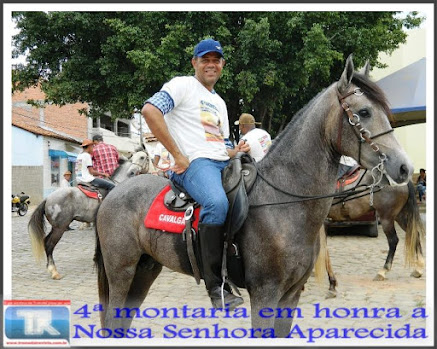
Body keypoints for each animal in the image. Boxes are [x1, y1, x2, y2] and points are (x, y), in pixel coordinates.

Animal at [28, 148, 150, 278]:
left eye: (142, 157)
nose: (132, 172)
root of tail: (48, 199)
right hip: (59, 228)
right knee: (49, 244)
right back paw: (54, 271)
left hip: (56, 227)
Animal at [94, 55, 412, 338]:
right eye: (365, 112)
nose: (403, 167)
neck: (285, 201)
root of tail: (113, 192)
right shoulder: (265, 293)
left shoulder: (290, 295)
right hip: (122, 271)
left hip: (145, 270)